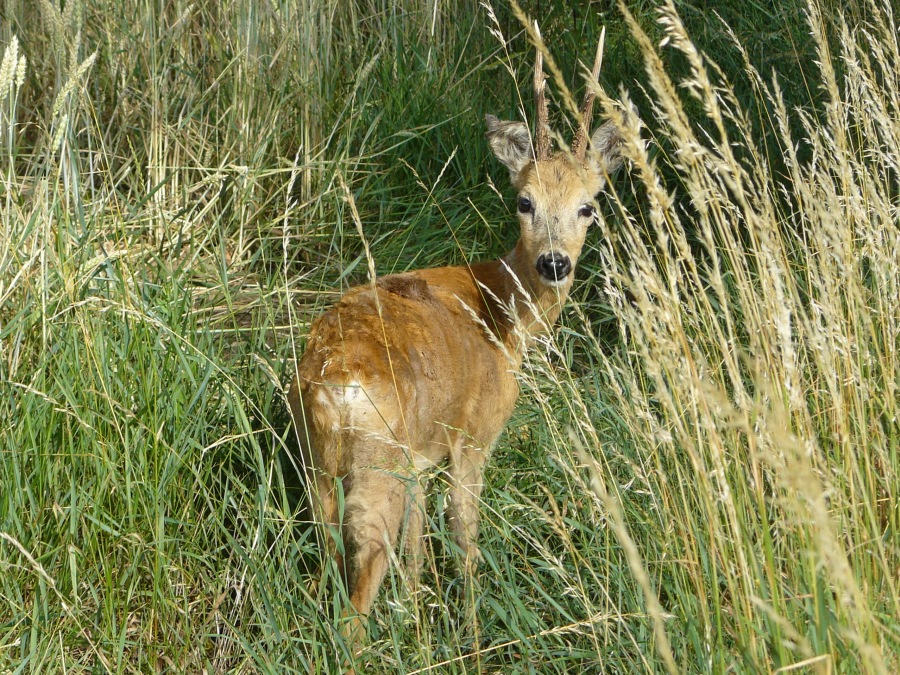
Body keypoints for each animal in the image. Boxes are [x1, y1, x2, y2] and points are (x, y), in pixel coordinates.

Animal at [288, 34, 628, 634]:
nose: (555, 262)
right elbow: (463, 537)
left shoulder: (424, 459)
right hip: (377, 466)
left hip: (319, 466)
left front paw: (418, 621)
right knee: (357, 600)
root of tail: (334, 381)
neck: (502, 316)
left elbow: (418, 552)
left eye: (589, 206)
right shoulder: (474, 437)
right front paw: (470, 631)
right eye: (525, 201)